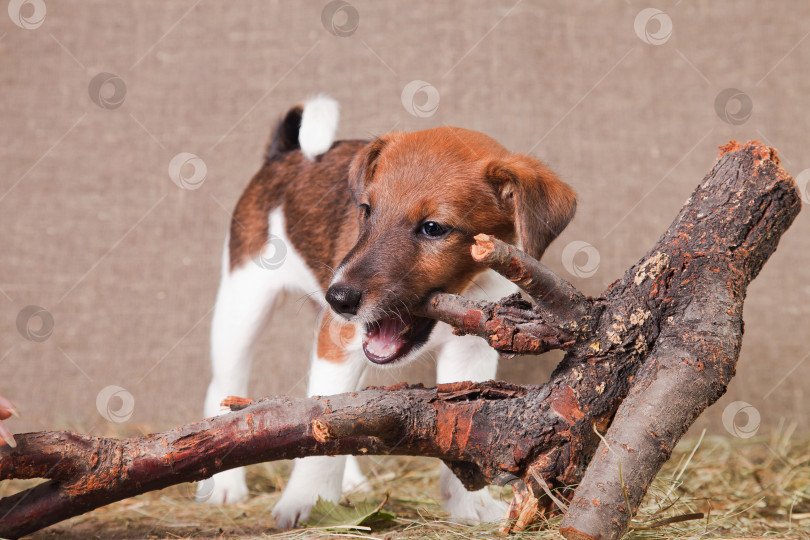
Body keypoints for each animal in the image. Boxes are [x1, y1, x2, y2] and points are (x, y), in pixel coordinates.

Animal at [205, 95, 576, 524]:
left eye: (433, 228)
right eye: (366, 209)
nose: (339, 299)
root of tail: (284, 153)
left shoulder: (471, 351)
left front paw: (469, 505)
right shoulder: (337, 343)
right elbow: (319, 427)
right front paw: (307, 500)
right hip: (242, 304)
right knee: (225, 387)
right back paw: (224, 485)